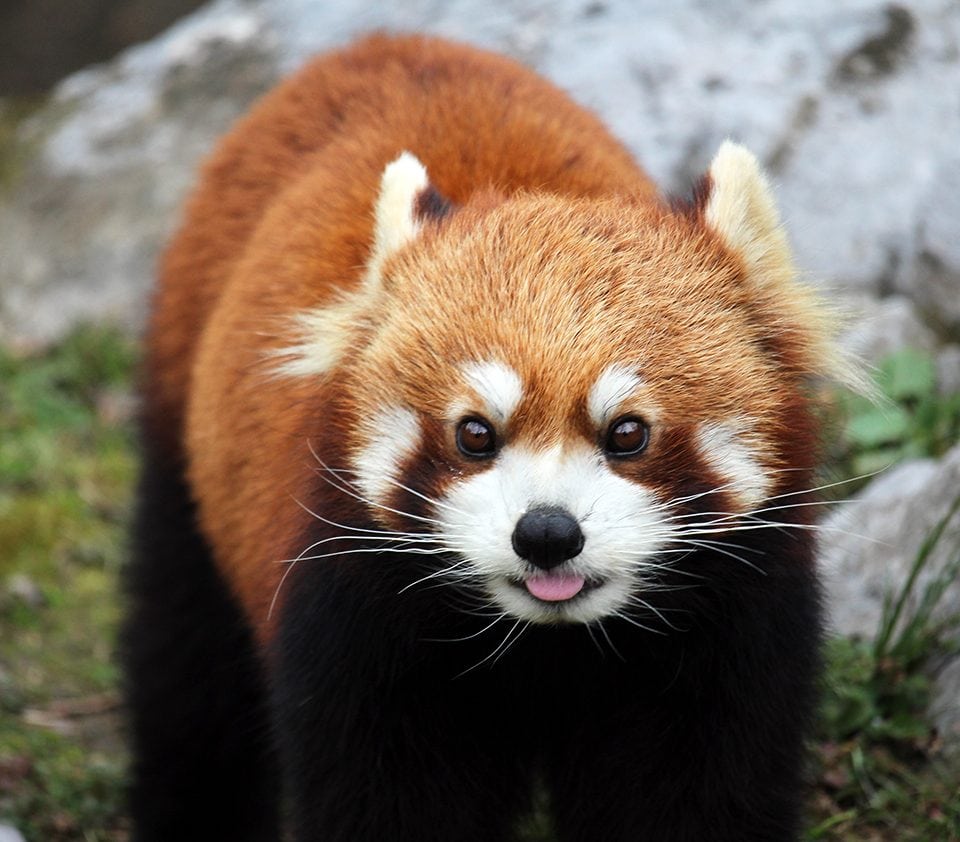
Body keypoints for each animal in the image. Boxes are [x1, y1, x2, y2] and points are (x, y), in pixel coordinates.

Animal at [125, 32, 856, 840]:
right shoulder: (358, 630)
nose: (546, 534)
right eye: (475, 433)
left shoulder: (729, 638)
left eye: (628, 433)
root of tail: (380, 43)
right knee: (186, 661)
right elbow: (387, 798)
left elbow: (695, 794)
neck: (545, 644)